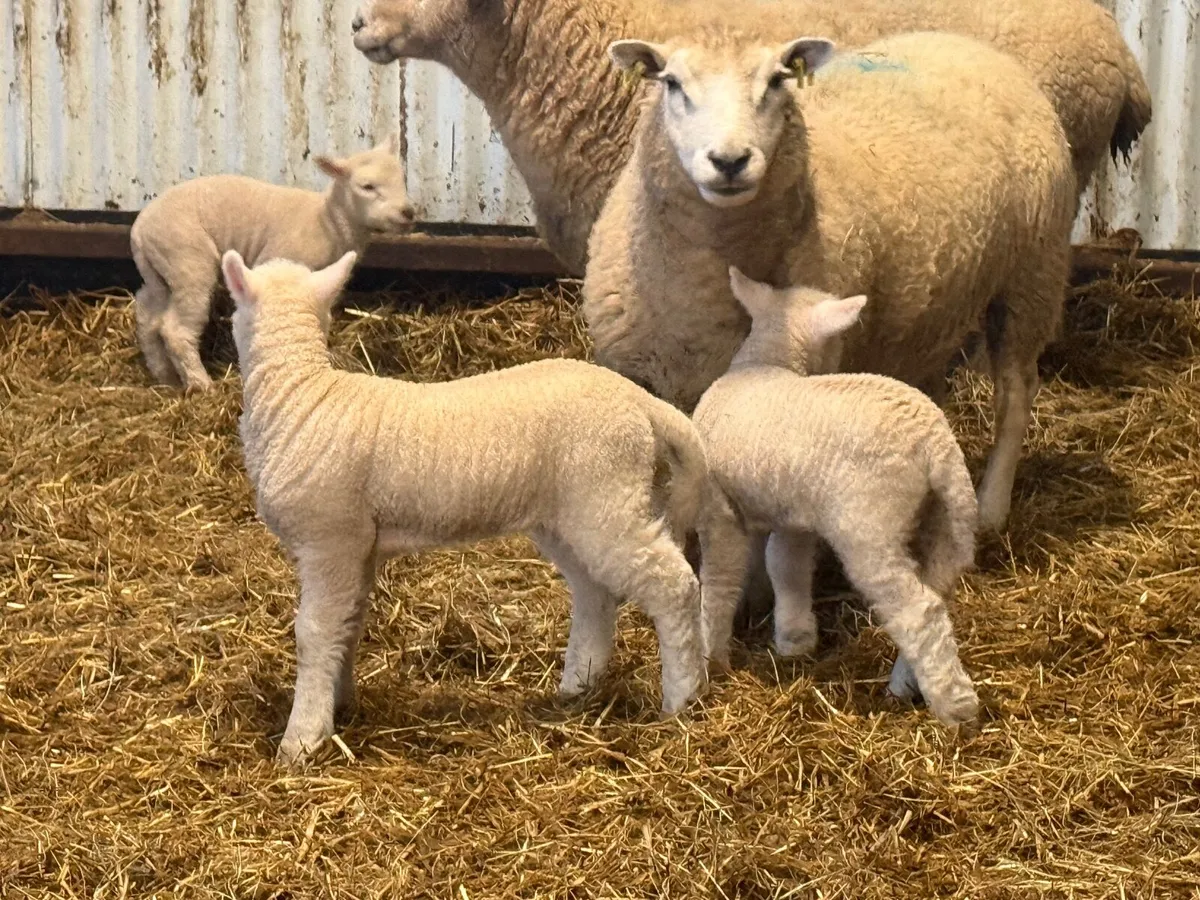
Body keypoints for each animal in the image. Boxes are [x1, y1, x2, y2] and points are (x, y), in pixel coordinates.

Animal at [131, 134, 415, 393]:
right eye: (367, 186)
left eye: (401, 179)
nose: (408, 212)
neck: (326, 222)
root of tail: (139, 229)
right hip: (188, 261)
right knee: (176, 330)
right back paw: (202, 384)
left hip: (160, 270)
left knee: (147, 315)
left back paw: (166, 377)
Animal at [219, 250, 708, 765]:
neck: (300, 393)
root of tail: (642, 402)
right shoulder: (359, 547)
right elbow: (347, 624)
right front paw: (340, 702)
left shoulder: (329, 539)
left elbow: (313, 632)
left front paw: (302, 740)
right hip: (570, 512)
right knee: (596, 594)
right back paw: (578, 686)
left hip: (607, 495)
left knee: (672, 585)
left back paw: (682, 697)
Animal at [584, 29, 1077, 534]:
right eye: (672, 83)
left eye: (777, 81)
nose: (730, 160)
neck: (702, 297)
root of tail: (967, 43)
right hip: (934, 309)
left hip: (1031, 278)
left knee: (1015, 393)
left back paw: (992, 507)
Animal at [695, 269, 980, 725]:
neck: (768, 360)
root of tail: (934, 442)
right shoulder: (793, 511)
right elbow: (786, 567)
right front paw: (795, 639)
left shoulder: (720, 507)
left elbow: (721, 579)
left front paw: (712, 656)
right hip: (948, 522)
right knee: (937, 597)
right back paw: (906, 684)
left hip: (869, 529)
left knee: (920, 612)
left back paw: (956, 707)